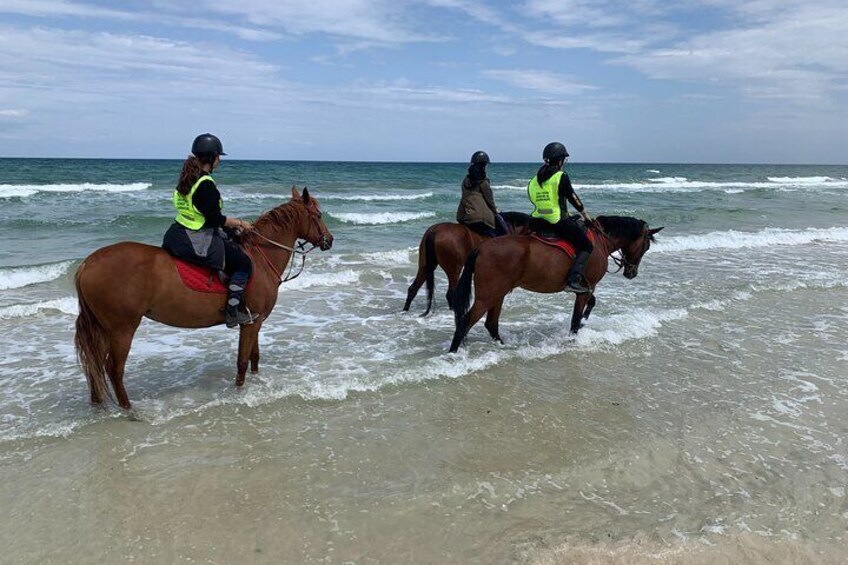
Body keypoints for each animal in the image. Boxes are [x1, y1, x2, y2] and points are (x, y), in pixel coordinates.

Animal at [73, 187, 332, 408]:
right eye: (318, 215)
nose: (329, 240)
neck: (259, 258)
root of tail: (87, 264)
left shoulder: (254, 321)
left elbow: (254, 358)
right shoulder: (250, 324)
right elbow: (242, 362)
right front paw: (239, 393)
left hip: (103, 329)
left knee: (95, 365)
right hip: (122, 329)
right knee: (113, 369)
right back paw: (129, 409)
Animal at [450, 217, 664, 352]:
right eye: (646, 246)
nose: (631, 273)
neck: (600, 240)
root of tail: (481, 247)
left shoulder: (586, 286)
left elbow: (591, 304)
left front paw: (585, 320)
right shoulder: (585, 289)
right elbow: (576, 319)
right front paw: (575, 336)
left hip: (498, 294)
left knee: (491, 324)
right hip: (488, 296)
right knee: (464, 324)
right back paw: (453, 354)